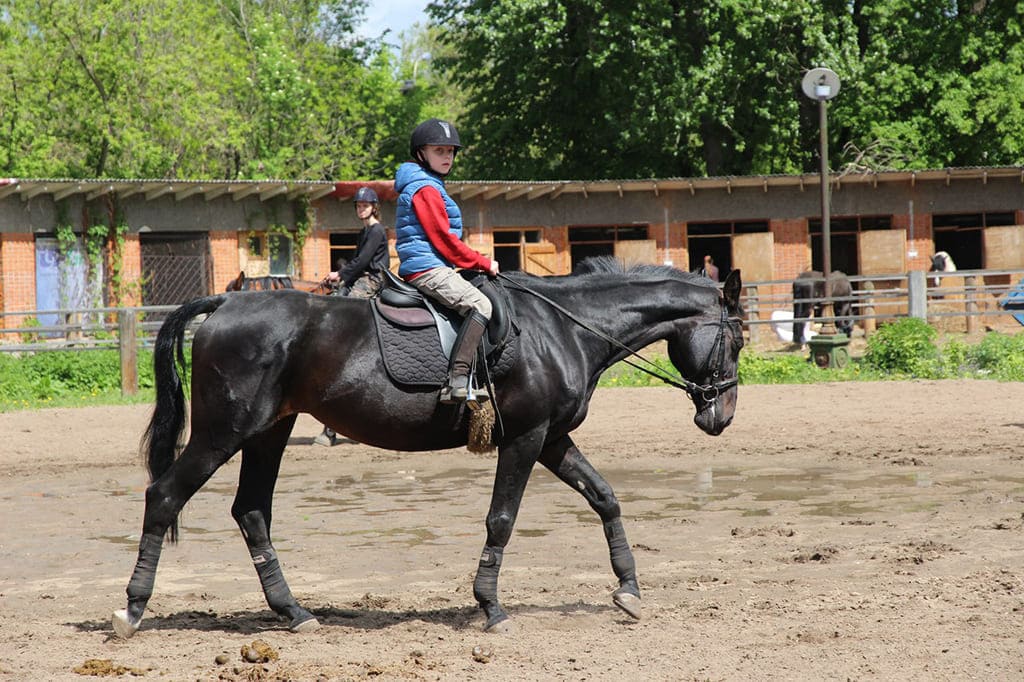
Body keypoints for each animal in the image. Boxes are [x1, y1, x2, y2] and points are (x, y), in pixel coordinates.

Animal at [114, 261, 745, 638]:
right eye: (736, 339)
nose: (722, 417)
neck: (561, 328)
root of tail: (225, 304)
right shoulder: (526, 437)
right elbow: (501, 519)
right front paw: (490, 606)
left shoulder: (551, 438)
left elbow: (605, 497)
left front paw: (629, 590)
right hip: (224, 433)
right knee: (164, 495)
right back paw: (133, 608)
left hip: (269, 432)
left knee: (251, 511)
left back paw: (293, 612)